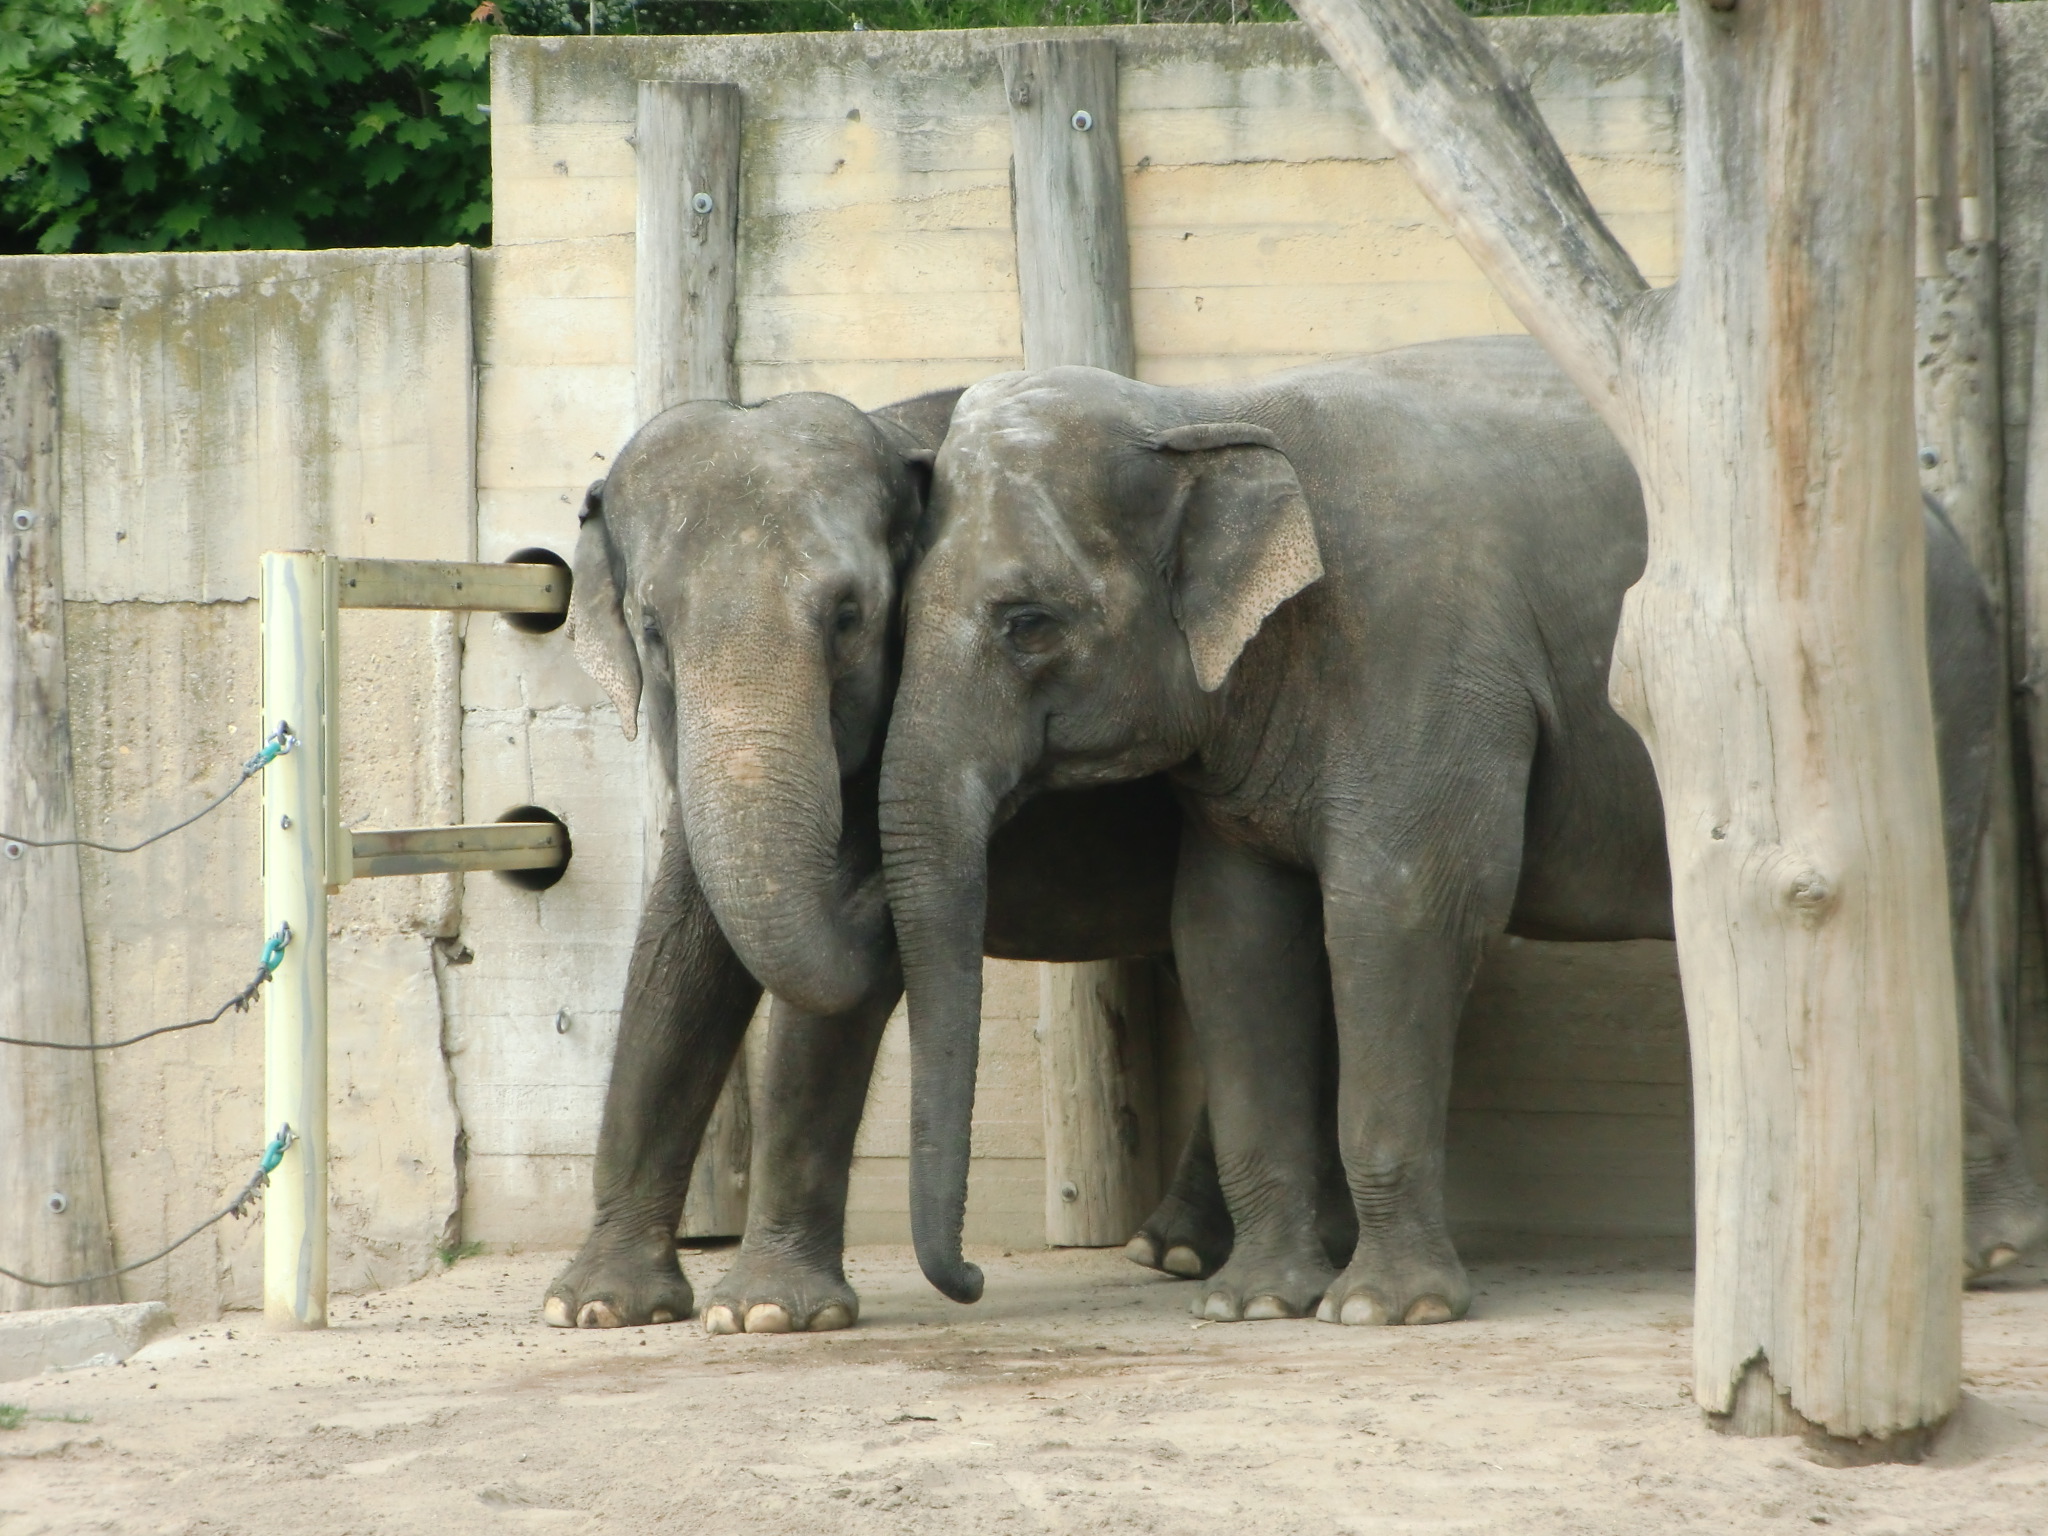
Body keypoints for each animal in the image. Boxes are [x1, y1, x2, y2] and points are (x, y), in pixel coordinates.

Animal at [877, 334, 2048, 1326]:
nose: (972, 1281)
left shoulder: (1417, 649)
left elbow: (1399, 912)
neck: (1205, 407)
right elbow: (1231, 938)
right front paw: (1252, 1305)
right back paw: (1983, 1256)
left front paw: (1381, 1312)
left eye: (1028, 623)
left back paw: (1970, 1259)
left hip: (1915, 687)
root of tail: (1942, 510)